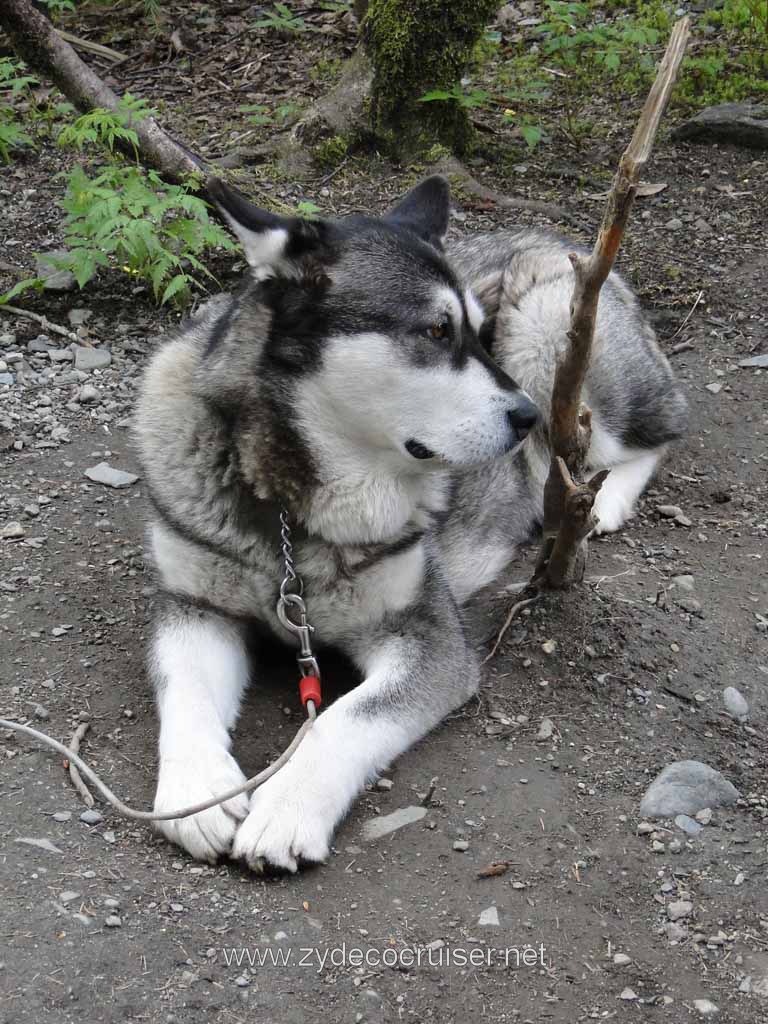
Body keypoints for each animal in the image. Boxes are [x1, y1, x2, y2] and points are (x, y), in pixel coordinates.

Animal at [135, 178, 688, 872]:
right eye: (436, 330)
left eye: (475, 333)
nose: (528, 418)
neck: (291, 501)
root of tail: (557, 237)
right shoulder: (192, 605)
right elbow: (183, 692)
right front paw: (197, 792)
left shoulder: (428, 635)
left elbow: (348, 717)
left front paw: (287, 808)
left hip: (549, 331)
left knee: (654, 434)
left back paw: (600, 502)